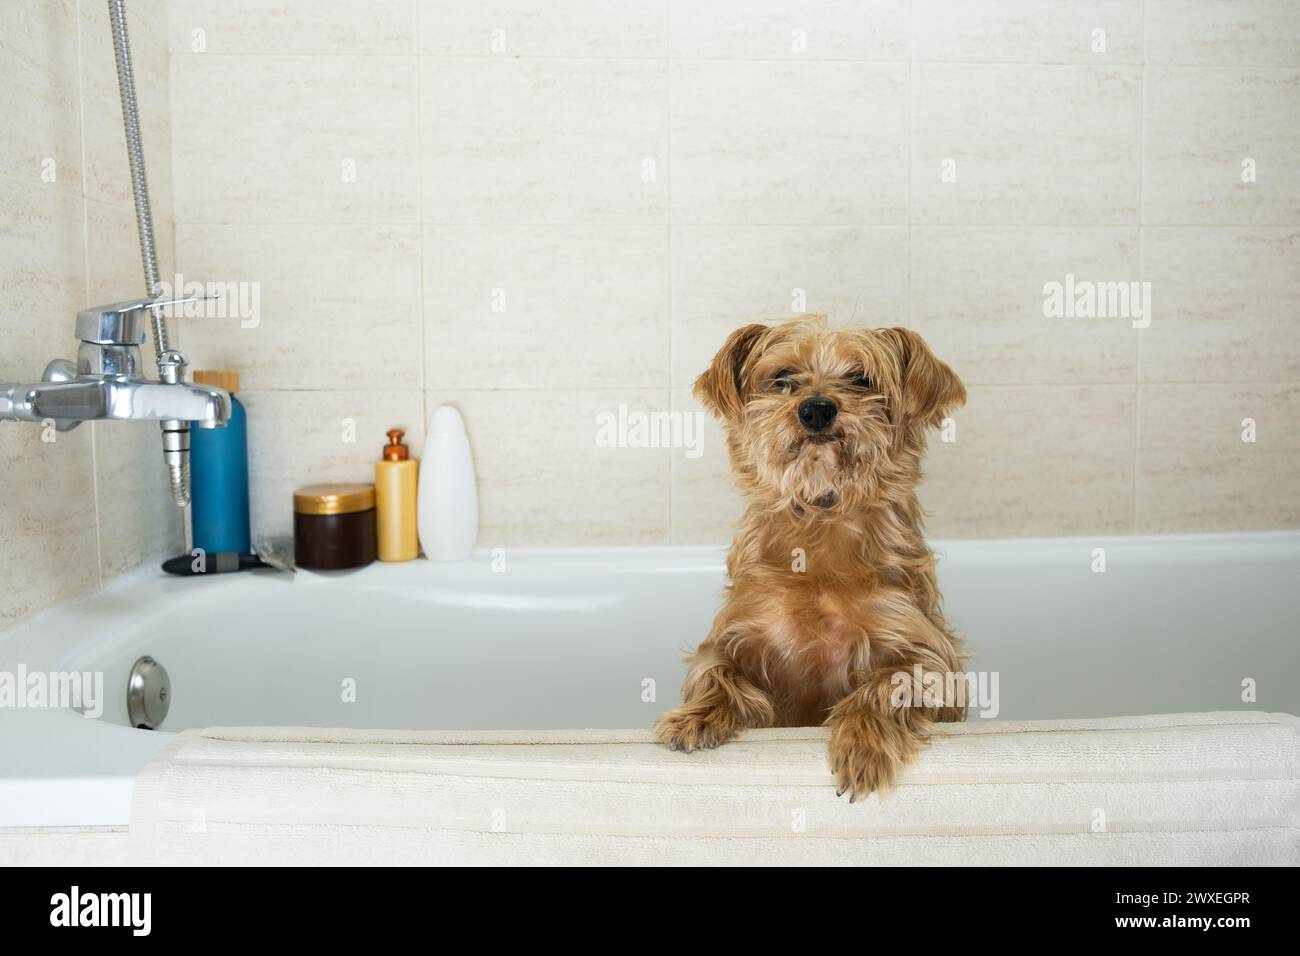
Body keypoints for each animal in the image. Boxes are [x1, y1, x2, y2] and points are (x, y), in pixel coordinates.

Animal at [655, 319, 972, 801]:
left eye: (860, 378)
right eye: (784, 377)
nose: (817, 409)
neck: (822, 517)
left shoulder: (933, 657)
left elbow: (888, 684)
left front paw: (862, 743)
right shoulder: (732, 634)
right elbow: (718, 671)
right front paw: (697, 716)